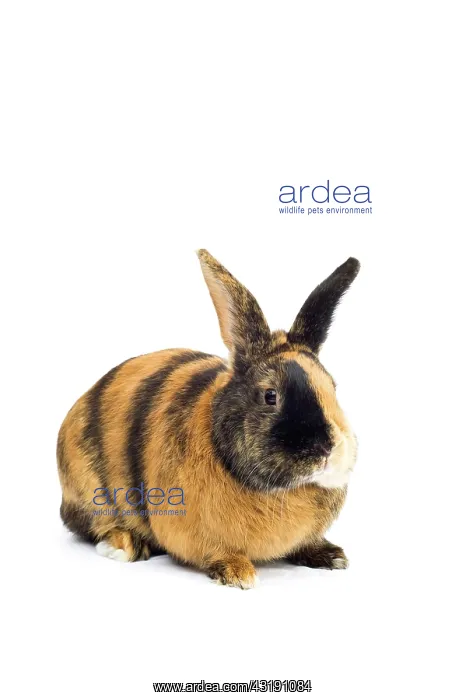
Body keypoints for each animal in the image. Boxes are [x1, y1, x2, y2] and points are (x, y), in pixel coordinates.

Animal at [57, 249, 360, 588]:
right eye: (270, 396)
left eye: (333, 387)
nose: (328, 451)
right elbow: (217, 552)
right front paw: (238, 574)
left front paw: (331, 556)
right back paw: (123, 545)